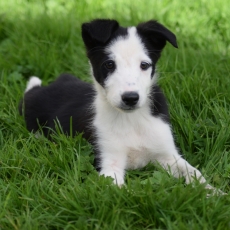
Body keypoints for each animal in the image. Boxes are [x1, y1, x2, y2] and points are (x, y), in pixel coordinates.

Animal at [19, 19, 214, 189]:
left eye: (144, 65)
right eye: (109, 64)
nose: (130, 98)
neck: (132, 120)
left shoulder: (168, 155)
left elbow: (195, 173)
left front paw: (213, 194)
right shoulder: (109, 162)